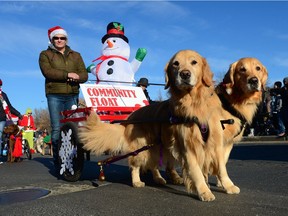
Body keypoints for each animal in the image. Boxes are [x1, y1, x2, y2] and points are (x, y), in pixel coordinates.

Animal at [79, 49, 227, 202]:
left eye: (194, 62)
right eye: (176, 64)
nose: (184, 74)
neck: (194, 102)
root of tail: (130, 117)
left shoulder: (214, 143)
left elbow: (220, 168)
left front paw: (227, 186)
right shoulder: (188, 146)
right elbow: (196, 171)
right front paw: (204, 192)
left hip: (157, 146)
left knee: (153, 164)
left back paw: (160, 179)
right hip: (142, 147)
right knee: (136, 165)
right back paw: (137, 181)